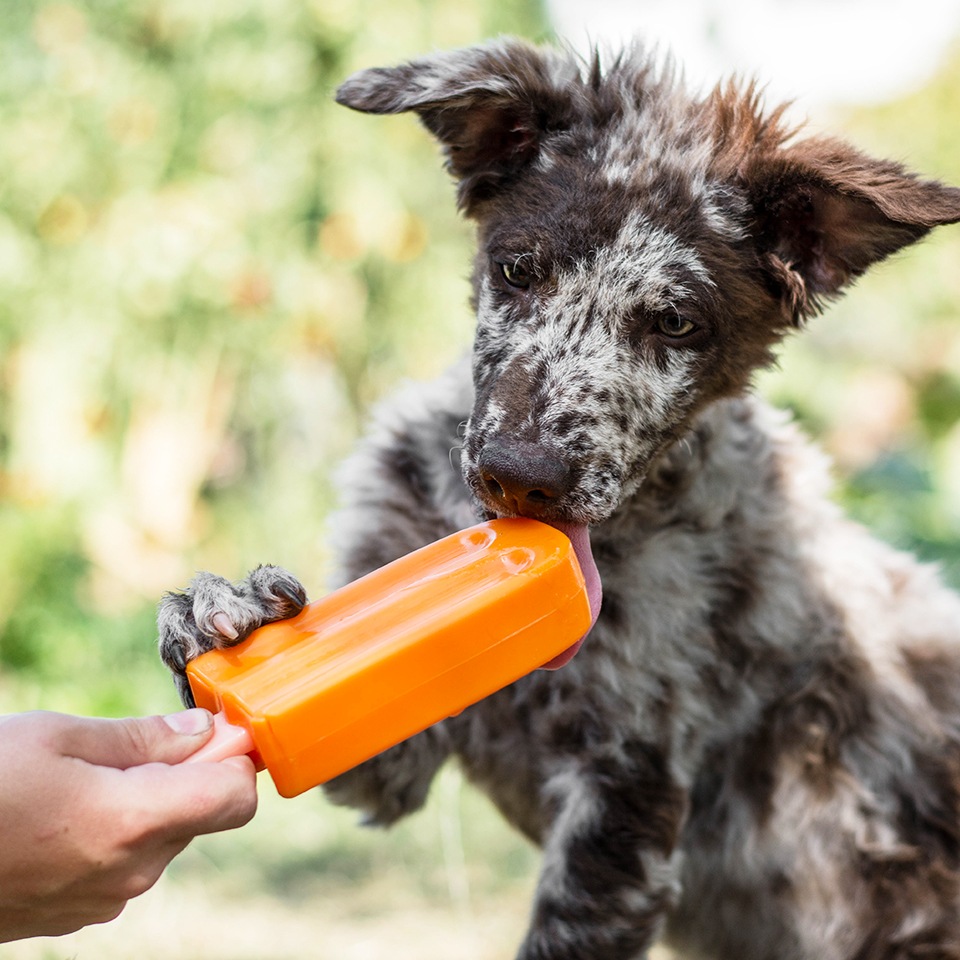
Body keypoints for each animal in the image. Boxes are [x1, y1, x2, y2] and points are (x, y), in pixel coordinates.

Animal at [158, 39, 960, 960]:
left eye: (676, 322)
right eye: (517, 271)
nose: (520, 475)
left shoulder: (626, 798)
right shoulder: (391, 757)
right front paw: (230, 616)